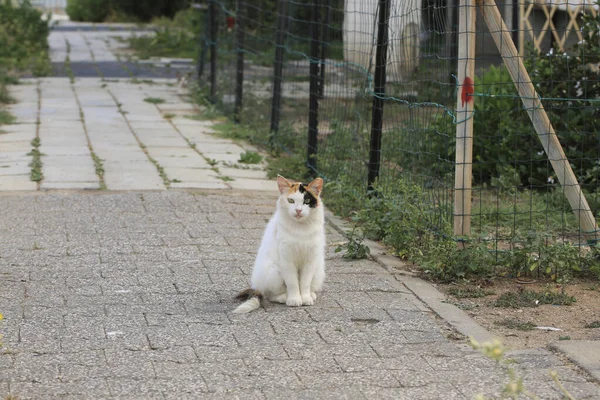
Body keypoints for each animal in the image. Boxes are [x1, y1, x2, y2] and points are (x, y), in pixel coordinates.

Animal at [234, 175, 328, 312]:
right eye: (291, 200)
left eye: (306, 201)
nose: (298, 210)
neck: (300, 229)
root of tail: (256, 287)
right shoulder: (286, 260)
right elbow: (293, 283)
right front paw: (294, 299)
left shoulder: (310, 261)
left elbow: (305, 283)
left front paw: (305, 298)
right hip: (273, 271)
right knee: (270, 295)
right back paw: (285, 297)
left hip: (318, 271)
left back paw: (311, 295)